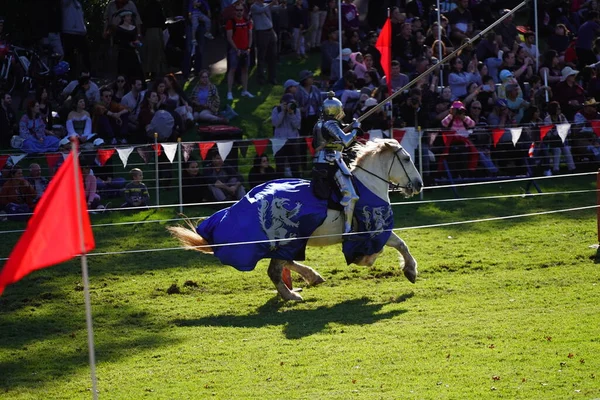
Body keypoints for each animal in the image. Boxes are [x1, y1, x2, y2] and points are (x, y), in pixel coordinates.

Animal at [166, 139, 424, 302]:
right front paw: (409, 270)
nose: (419, 184)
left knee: (282, 263)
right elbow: (398, 244)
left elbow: (398, 244)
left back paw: (310, 278)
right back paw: (292, 294)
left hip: (288, 242)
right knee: (275, 270)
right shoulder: (375, 229)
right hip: (287, 239)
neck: (369, 185)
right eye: (406, 158)